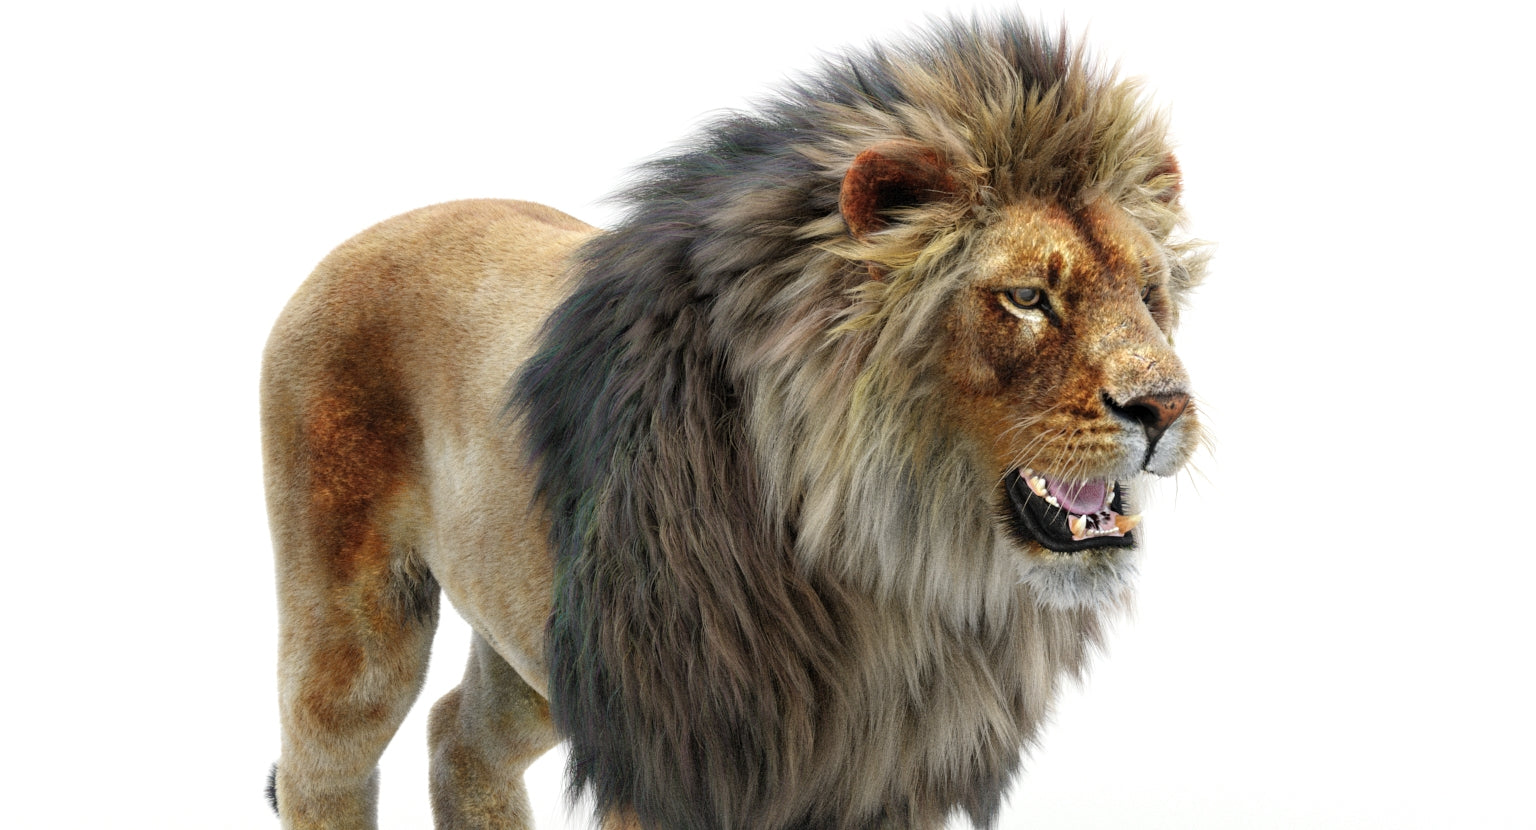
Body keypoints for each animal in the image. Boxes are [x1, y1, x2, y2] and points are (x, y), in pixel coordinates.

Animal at [261, 15, 1206, 830]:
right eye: (1028, 297)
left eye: (1147, 292)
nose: (1166, 406)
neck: (893, 574)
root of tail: (359, 239)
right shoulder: (679, 766)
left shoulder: (892, 777)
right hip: (355, 625)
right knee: (322, 768)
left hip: (532, 640)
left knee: (460, 738)